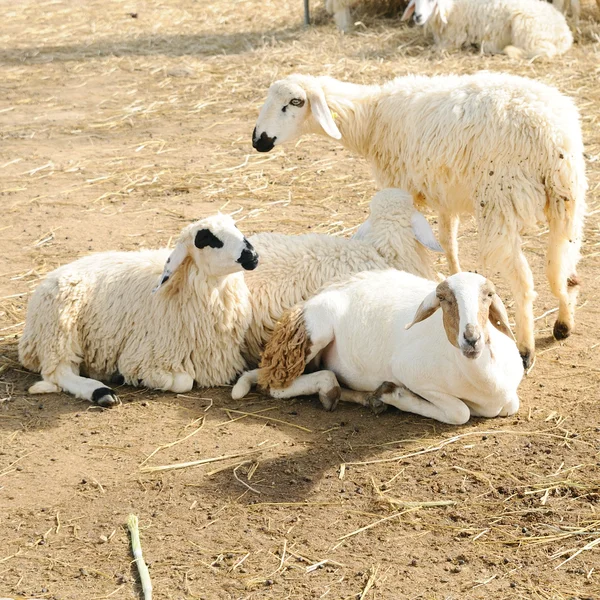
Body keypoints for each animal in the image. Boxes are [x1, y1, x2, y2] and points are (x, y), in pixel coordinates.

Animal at [18, 213, 258, 406]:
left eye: (235, 226)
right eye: (205, 239)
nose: (252, 255)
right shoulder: (143, 355)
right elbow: (184, 382)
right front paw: (135, 378)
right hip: (59, 329)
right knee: (59, 372)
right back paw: (101, 392)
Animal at [232, 270, 524, 424]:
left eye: (488, 296)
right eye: (442, 299)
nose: (471, 338)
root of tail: (314, 296)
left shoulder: (509, 397)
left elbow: (511, 404)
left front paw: (383, 396)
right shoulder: (410, 372)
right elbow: (459, 412)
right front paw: (395, 395)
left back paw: (364, 398)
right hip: (315, 331)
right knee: (275, 385)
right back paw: (331, 389)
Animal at [251, 71, 588, 370]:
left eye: (295, 102)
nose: (258, 141)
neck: (371, 118)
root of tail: (552, 134)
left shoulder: (400, 188)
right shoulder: (445, 194)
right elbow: (448, 242)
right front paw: (453, 279)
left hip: (500, 200)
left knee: (524, 279)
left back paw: (526, 348)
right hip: (567, 199)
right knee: (560, 266)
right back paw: (563, 322)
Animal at [400, 0, 576, 58]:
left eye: (431, 0)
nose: (417, 16)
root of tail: (566, 34)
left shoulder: (453, 39)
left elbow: (434, 48)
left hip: (526, 26)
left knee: (545, 51)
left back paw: (508, 50)